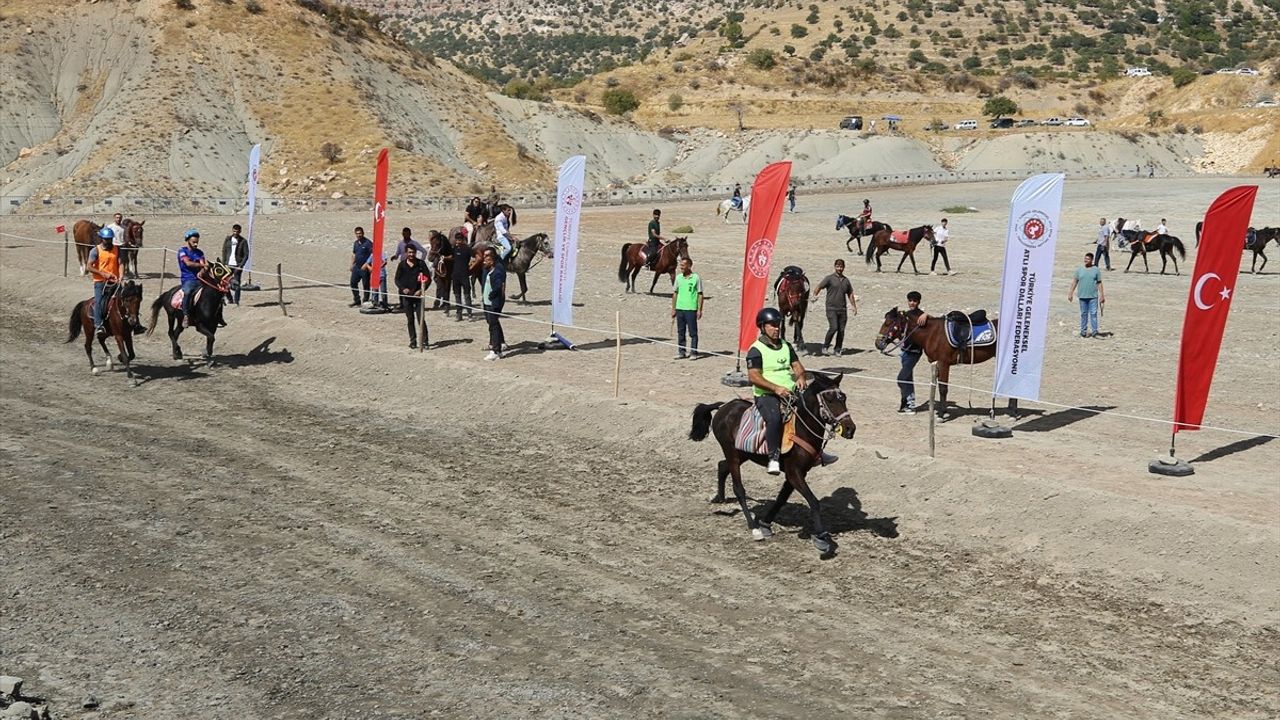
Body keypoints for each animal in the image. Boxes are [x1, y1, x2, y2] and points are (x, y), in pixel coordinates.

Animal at [686, 368, 855, 556]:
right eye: (830, 399)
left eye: (844, 398)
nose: (850, 429)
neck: (801, 429)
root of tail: (724, 407)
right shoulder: (794, 472)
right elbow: (813, 502)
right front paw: (821, 539)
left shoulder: (798, 473)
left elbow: (781, 499)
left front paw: (766, 523)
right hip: (732, 453)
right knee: (738, 489)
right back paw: (753, 527)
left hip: (743, 453)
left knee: (722, 466)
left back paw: (719, 498)